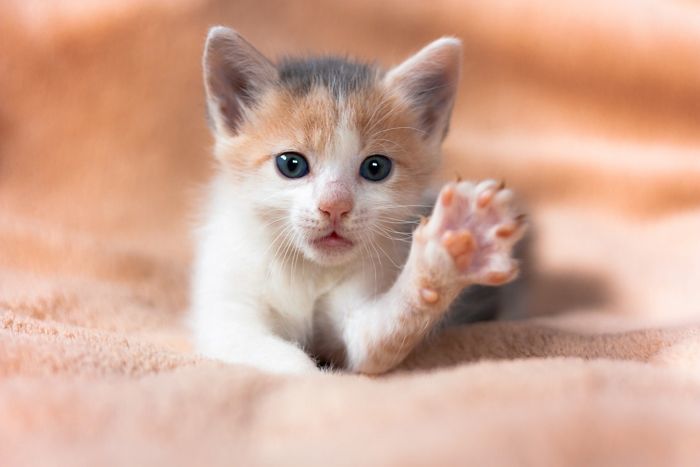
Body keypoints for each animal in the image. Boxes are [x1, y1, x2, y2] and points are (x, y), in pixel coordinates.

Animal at [191, 26, 524, 376]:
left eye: (376, 168)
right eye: (291, 165)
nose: (335, 206)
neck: (309, 270)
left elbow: (377, 340)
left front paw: (452, 252)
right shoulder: (225, 313)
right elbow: (282, 360)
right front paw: (314, 378)